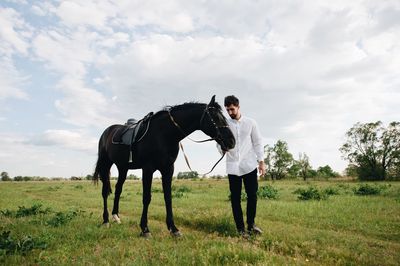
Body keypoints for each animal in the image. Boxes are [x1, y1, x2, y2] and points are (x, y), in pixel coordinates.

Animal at [93, 95, 234, 237]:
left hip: (123, 168)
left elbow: (168, 197)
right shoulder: (148, 169)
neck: (163, 134)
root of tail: (107, 132)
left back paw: (116, 216)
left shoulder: (168, 169)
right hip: (105, 164)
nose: (232, 141)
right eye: (216, 117)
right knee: (105, 192)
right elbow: (146, 198)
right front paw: (145, 229)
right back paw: (105, 220)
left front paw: (173, 228)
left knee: (118, 189)